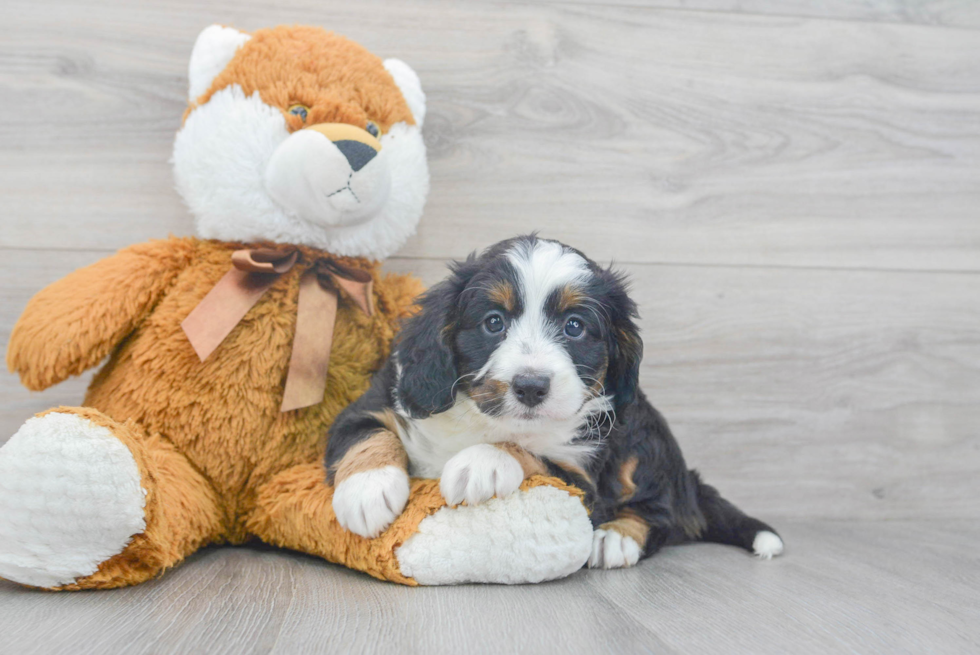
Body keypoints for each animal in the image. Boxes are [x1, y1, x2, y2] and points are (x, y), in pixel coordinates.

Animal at [326, 236, 784, 568]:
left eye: (574, 327)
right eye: (494, 322)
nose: (531, 386)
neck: (485, 420)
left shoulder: (580, 479)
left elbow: (531, 453)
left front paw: (482, 461)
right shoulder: (383, 397)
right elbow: (365, 433)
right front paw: (366, 491)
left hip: (643, 438)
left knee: (664, 510)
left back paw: (617, 537)